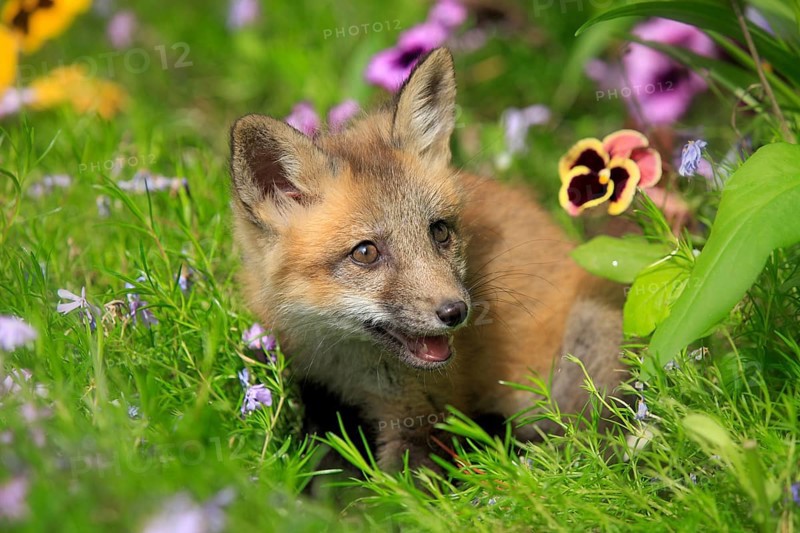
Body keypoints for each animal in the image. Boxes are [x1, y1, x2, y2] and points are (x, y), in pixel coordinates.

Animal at [229, 48, 624, 472]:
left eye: (439, 231)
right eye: (365, 252)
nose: (456, 312)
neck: (347, 366)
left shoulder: (424, 419)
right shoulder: (318, 396)